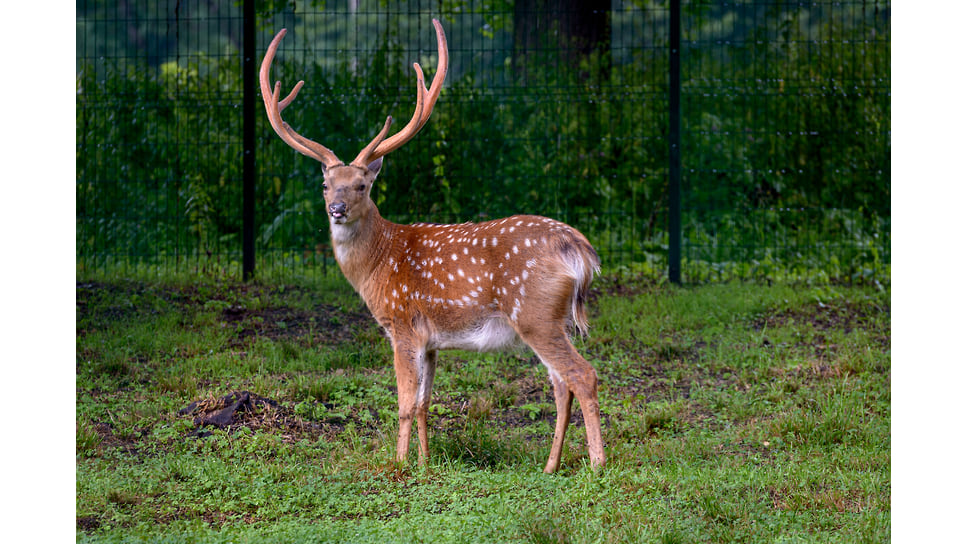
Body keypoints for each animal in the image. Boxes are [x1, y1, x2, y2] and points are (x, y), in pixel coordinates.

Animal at [260, 20, 604, 472]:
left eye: (362, 185)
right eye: (325, 185)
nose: (337, 209)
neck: (378, 263)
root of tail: (579, 249)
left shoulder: (401, 323)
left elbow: (404, 403)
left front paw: (400, 464)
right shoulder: (432, 341)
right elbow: (425, 402)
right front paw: (425, 462)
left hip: (535, 313)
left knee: (582, 375)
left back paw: (598, 465)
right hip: (553, 318)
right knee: (561, 383)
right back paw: (550, 466)